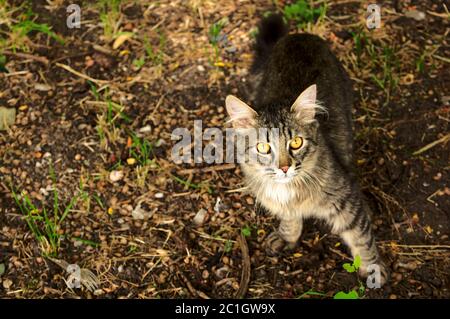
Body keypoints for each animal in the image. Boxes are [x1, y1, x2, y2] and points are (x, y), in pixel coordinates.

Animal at [227, 14, 388, 284]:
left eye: (296, 143)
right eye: (264, 147)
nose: (283, 168)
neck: (288, 190)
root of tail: (299, 36)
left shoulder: (345, 200)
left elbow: (361, 237)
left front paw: (372, 268)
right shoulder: (284, 207)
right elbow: (290, 220)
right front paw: (288, 236)